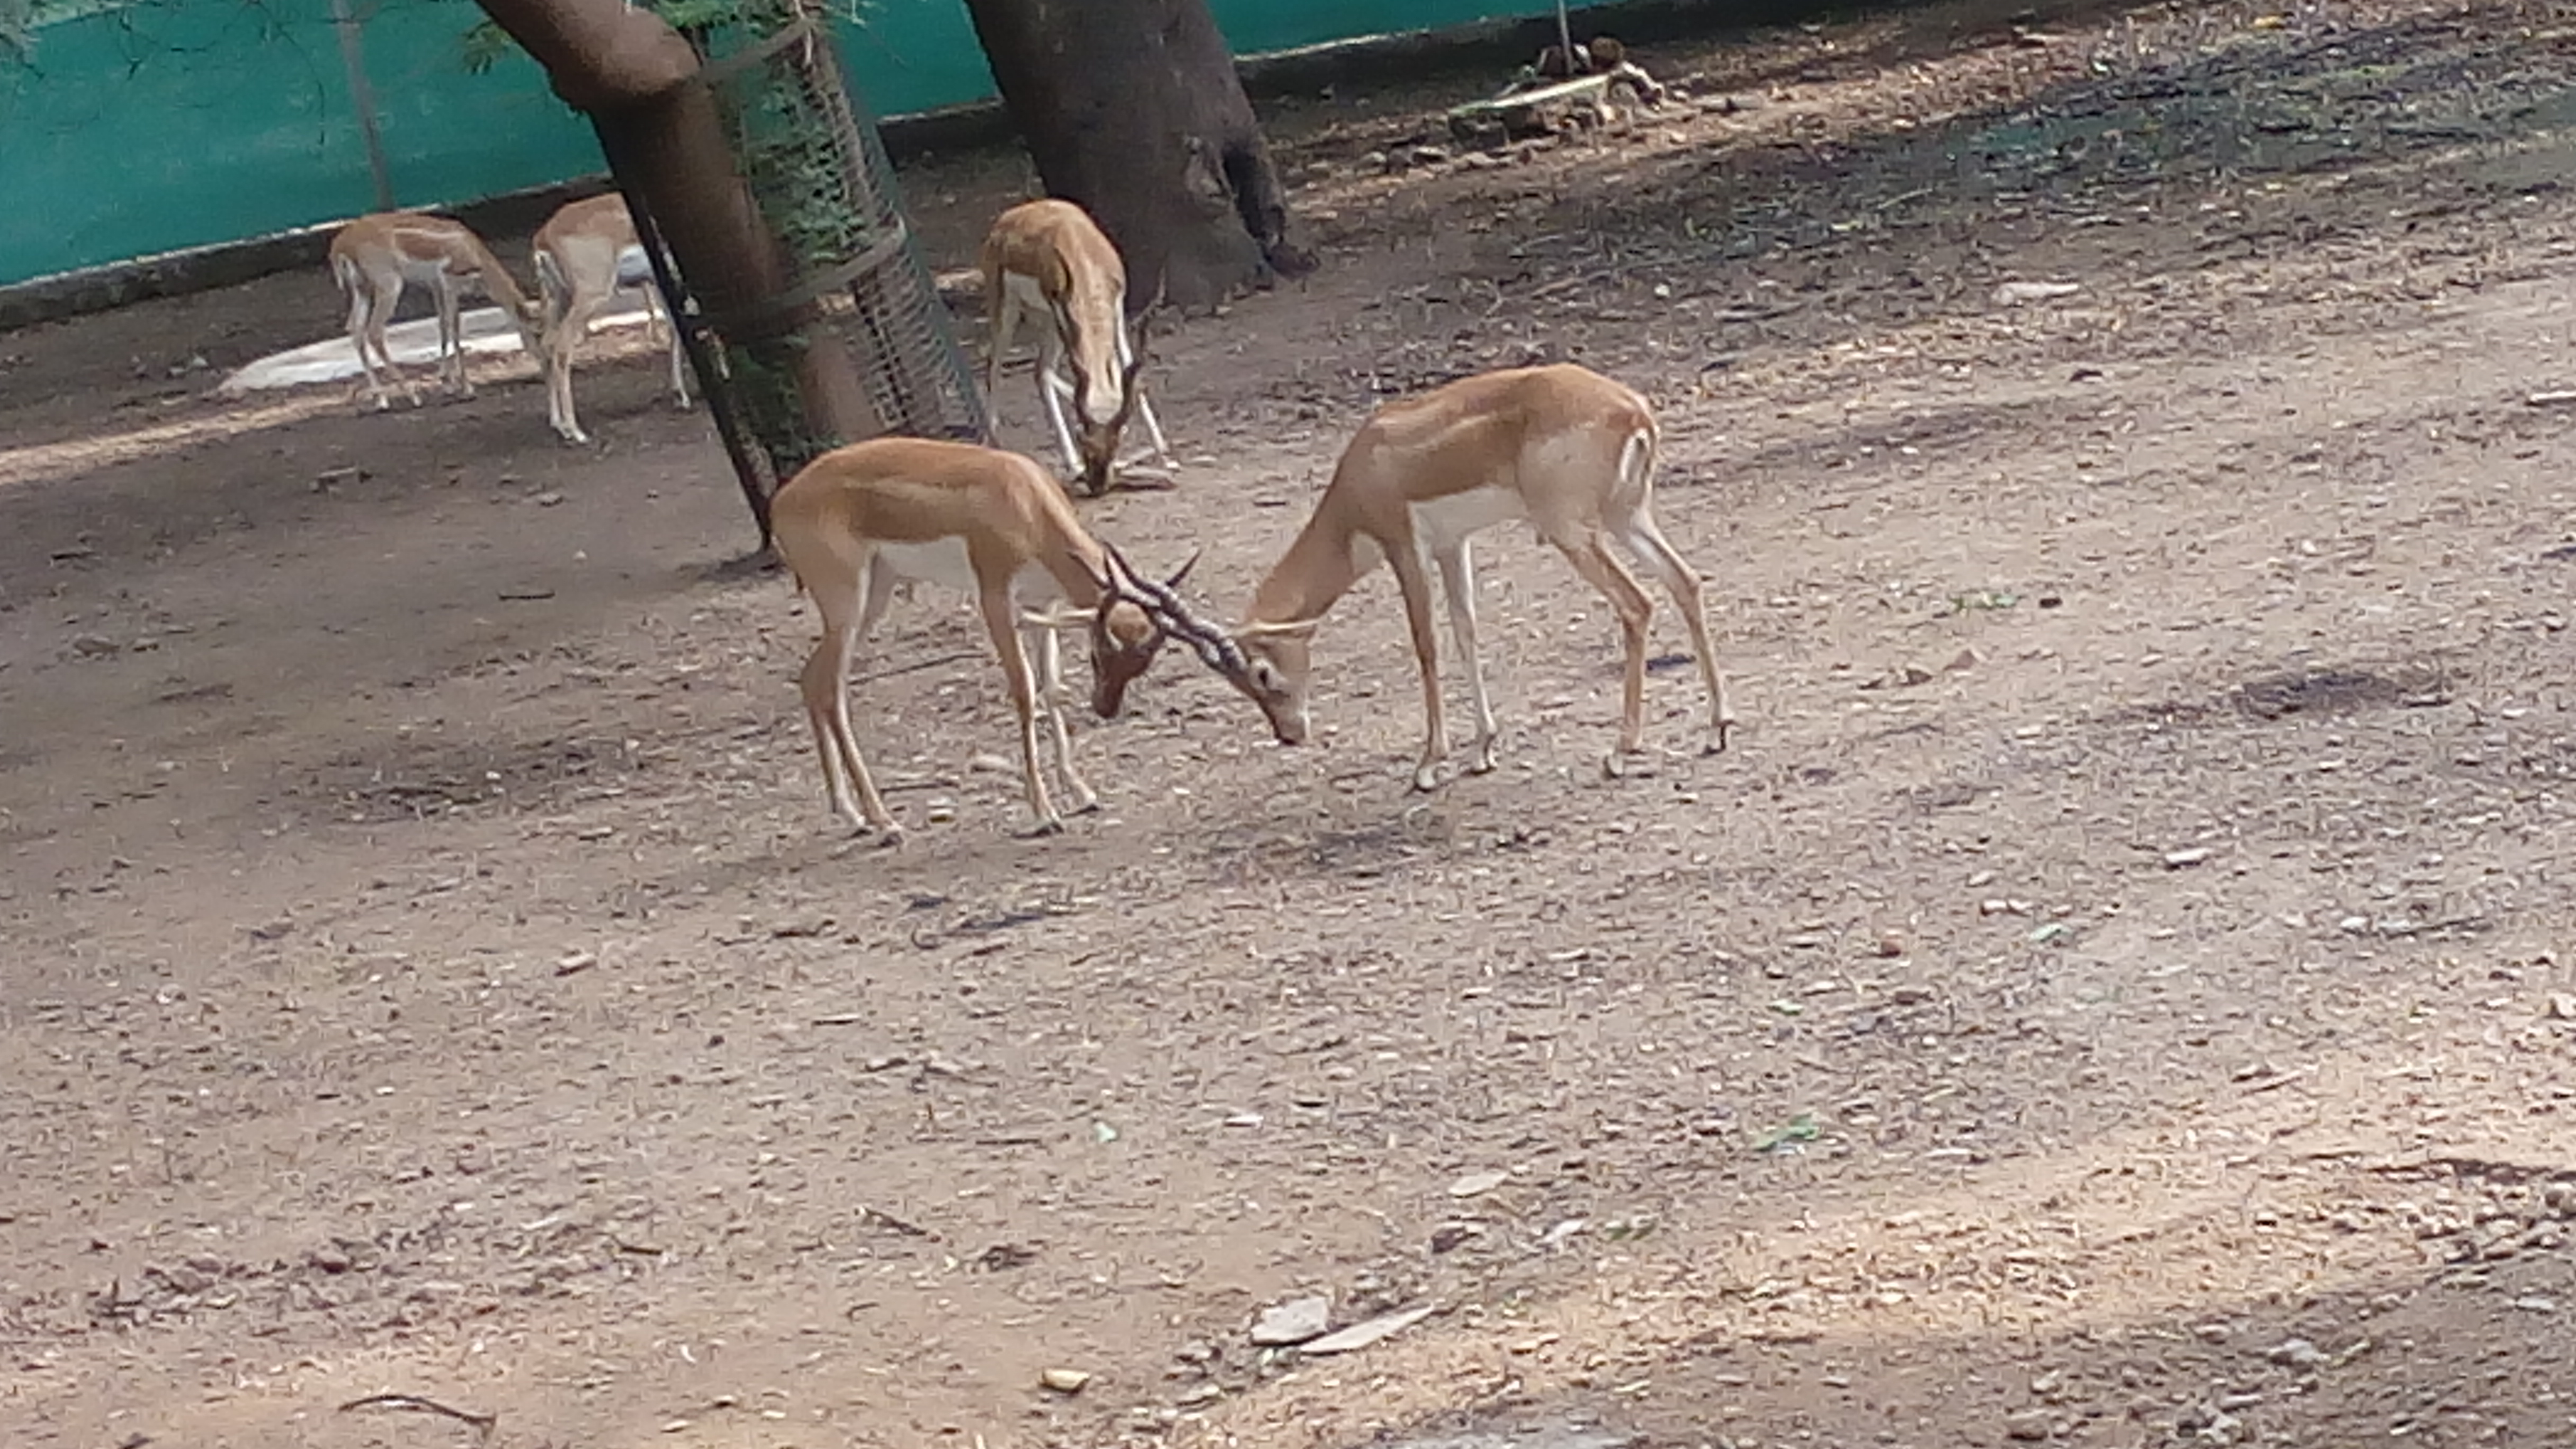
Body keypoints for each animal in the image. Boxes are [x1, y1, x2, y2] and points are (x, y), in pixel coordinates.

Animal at [325, 211, 546, 410]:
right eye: (537, 334)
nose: (544, 364)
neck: (475, 252)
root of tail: (341, 245)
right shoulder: (448, 282)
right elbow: (454, 327)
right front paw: (467, 388)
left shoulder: (435, 285)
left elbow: (442, 325)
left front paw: (447, 383)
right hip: (389, 285)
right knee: (374, 331)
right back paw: (414, 397)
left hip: (362, 289)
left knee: (355, 330)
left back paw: (382, 400)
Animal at [531, 193, 692, 445]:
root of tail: (544, 235)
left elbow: (676, 328)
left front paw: (680, 396)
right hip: (590, 296)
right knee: (562, 348)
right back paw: (576, 432)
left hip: (561, 298)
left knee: (546, 344)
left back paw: (560, 426)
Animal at [767, 436, 1204, 841]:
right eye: (1097, 654)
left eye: (1140, 664)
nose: (1105, 708)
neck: (1024, 501)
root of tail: (779, 504)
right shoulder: (995, 599)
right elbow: (1025, 692)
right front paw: (1044, 813)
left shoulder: (1042, 605)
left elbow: (1052, 689)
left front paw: (1083, 793)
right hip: (847, 603)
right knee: (831, 690)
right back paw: (885, 822)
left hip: (874, 596)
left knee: (813, 680)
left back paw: (852, 814)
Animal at [977, 198, 1176, 494]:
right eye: (1086, 444)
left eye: (1115, 445)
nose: (1099, 485)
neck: (1081, 251)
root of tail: (1009, 218)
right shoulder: (1063, 312)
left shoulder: (1116, 309)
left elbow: (1129, 369)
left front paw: (1165, 455)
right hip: (1008, 310)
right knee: (998, 365)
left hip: (1047, 321)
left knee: (1040, 370)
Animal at [1140, 364, 1735, 791]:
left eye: (1261, 673)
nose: (1289, 734)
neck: (1364, 468)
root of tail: (1632, 411)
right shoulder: (1454, 546)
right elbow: (1466, 631)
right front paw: (1483, 750)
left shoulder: (1405, 547)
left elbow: (1425, 643)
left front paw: (1428, 764)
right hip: (1625, 516)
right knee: (1685, 581)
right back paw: (1716, 729)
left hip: (1572, 530)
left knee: (1636, 604)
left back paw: (1620, 751)